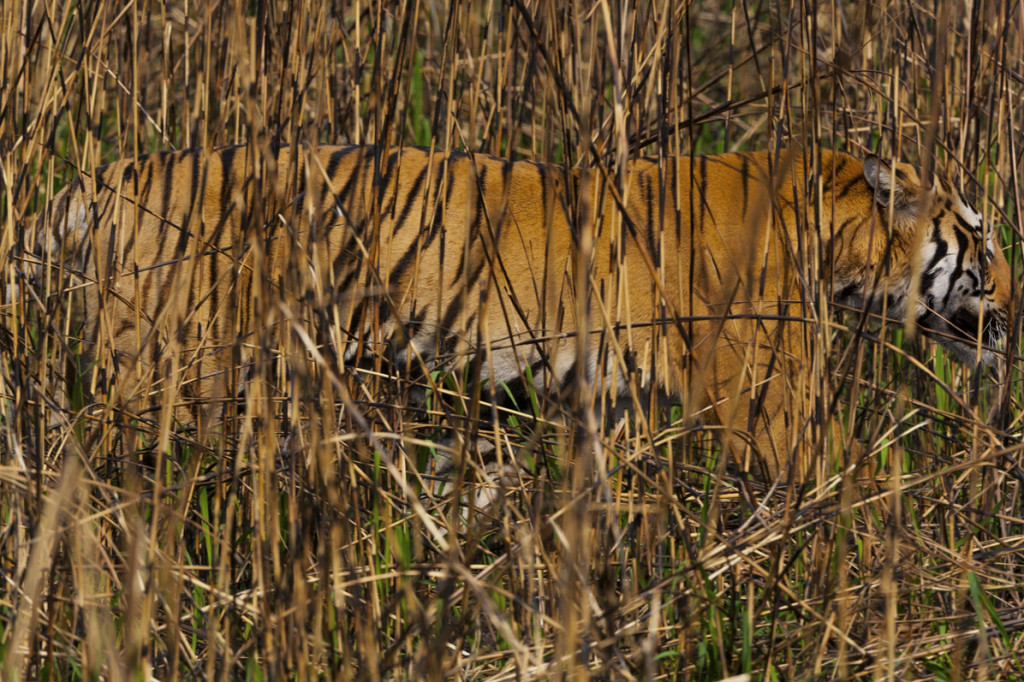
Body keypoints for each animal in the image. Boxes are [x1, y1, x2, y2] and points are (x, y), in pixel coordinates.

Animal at [28, 145, 1011, 481]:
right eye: (981, 237)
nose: (1014, 304)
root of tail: (101, 178)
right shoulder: (767, 406)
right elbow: (852, 477)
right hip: (168, 365)